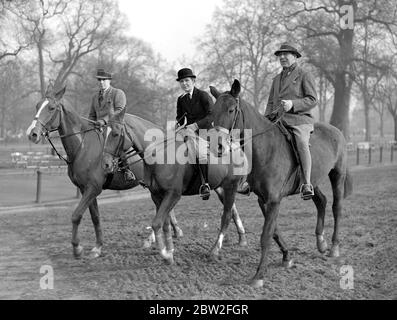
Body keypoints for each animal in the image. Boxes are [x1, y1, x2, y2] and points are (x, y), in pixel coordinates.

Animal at [25, 85, 183, 260]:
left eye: (51, 108)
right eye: (37, 106)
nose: (32, 134)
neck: (82, 146)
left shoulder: (93, 188)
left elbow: (76, 215)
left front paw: (77, 248)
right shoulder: (85, 189)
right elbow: (95, 217)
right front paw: (97, 247)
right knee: (163, 208)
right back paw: (163, 236)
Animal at [103, 111, 248, 264]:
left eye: (115, 134)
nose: (106, 164)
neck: (160, 154)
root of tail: (235, 146)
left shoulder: (173, 194)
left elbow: (157, 223)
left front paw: (165, 255)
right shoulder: (157, 195)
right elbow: (164, 224)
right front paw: (170, 253)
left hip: (231, 186)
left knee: (226, 216)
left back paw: (214, 250)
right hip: (221, 187)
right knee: (231, 210)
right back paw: (241, 239)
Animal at [209, 80, 352, 288]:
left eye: (231, 110)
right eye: (213, 111)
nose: (216, 145)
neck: (266, 148)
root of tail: (336, 131)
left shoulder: (274, 199)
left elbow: (266, 235)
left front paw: (259, 275)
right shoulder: (264, 199)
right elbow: (274, 231)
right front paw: (287, 257)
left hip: (337, 175)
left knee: (337, 207)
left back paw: (334, 246)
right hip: (313, 181)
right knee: (321, 202)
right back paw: (321, 242)